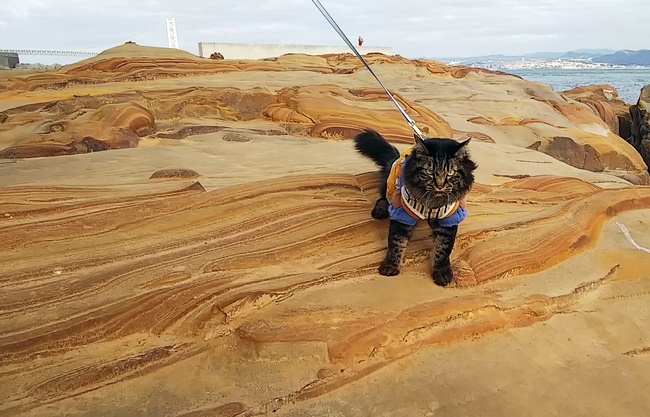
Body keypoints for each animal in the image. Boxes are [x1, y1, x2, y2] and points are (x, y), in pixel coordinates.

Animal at [352, 130, 474, 286]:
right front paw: (390, 265)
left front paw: (442, 272)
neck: (432, 202)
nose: (440, 185)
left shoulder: (449, 218)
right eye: (429, 172)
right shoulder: (403, 213)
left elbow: (443, 248)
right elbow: (396, 242)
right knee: (383, 198)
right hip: (390, 187)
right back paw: (380, 211)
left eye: (451, 173)